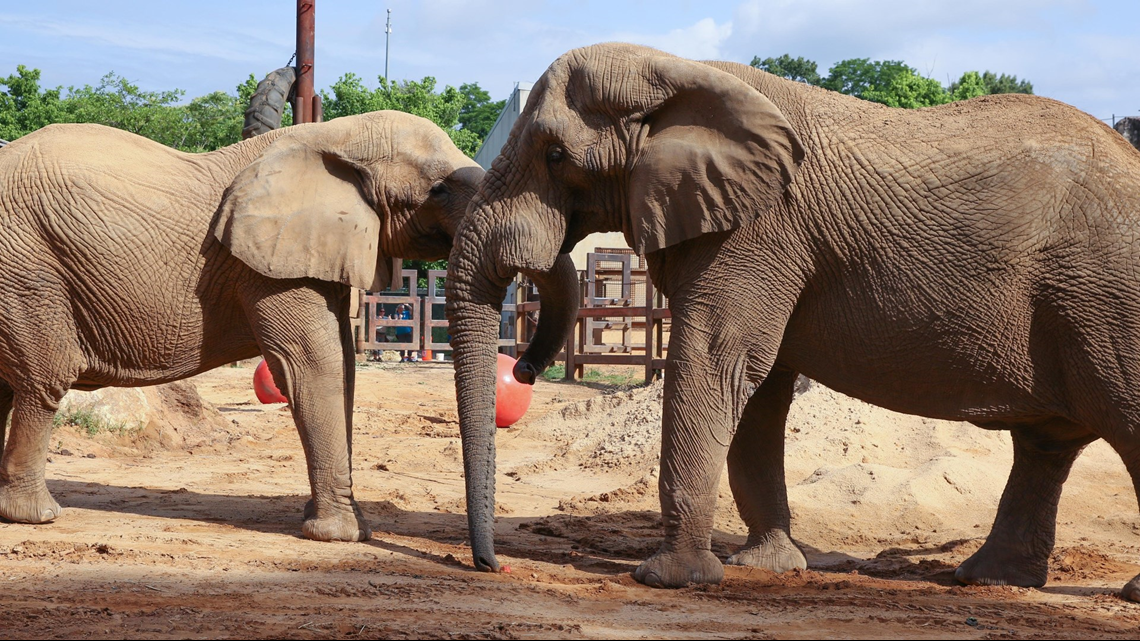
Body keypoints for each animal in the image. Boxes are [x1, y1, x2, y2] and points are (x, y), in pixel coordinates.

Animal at [0, 111, 482, 541]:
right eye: (439, 189)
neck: (336, 134)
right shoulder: (268, 266)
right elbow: (314, 365)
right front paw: (341, 535)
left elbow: (343, 364)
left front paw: (342, 526)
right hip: (26, 267)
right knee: (44, 380)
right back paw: (36, 516)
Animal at [446, 42, 1140, 601]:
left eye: (555, 154)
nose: (524, 370)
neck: (680, 72)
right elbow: (758, 387)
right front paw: (770, 567)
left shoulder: (759, 232)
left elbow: (715, 359)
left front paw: (669, 580)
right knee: (1045, 444)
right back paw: (987, 580)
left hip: (1107, 300)